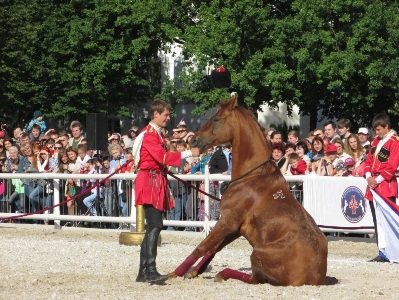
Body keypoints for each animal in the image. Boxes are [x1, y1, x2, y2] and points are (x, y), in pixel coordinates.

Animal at [169, 96, 328, 286]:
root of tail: (315, 277)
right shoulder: (236, 228)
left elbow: (202, 247)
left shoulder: (227, 222)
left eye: (216, 119)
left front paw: (173, 274)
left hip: (257, 252)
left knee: (255, 279)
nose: (193, 140)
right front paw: (193, 272)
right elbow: (213, 248)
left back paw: (222, 274)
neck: (252, 176)